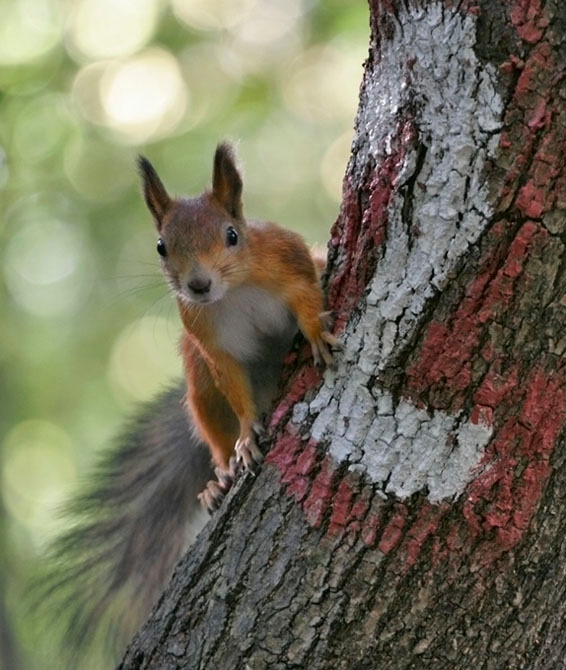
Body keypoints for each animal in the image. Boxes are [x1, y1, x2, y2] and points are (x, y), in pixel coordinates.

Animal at [37, 142, 337, 662]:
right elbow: (233, 387)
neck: (233, 293)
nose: (197, 285)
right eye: (161, 246)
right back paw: (219, 482)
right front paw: (246, 437)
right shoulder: (211, 345)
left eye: (232, 235)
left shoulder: (289, 262)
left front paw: (317, 332)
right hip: (198, 380)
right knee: (212, 422)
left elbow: (307, 295)